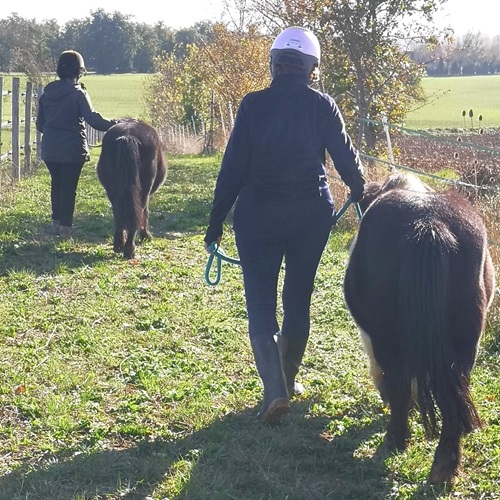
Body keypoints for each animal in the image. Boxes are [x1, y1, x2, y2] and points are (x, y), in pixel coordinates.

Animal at [96, 117, 167, 258]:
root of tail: (128, 136)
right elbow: (145, 212)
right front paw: (145, 236)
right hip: (144, 189)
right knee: (139, 211)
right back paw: (130, 248)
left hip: (112, 191)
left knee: (118, 213)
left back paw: (119, 244)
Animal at [344, 171, 496, 484]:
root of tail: (428, 224)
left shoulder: (371, 338)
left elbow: (382, 373)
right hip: (466, 343)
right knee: (454, 393)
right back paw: (445, 466)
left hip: (387, 338)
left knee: (398, 381)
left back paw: (396, 439)